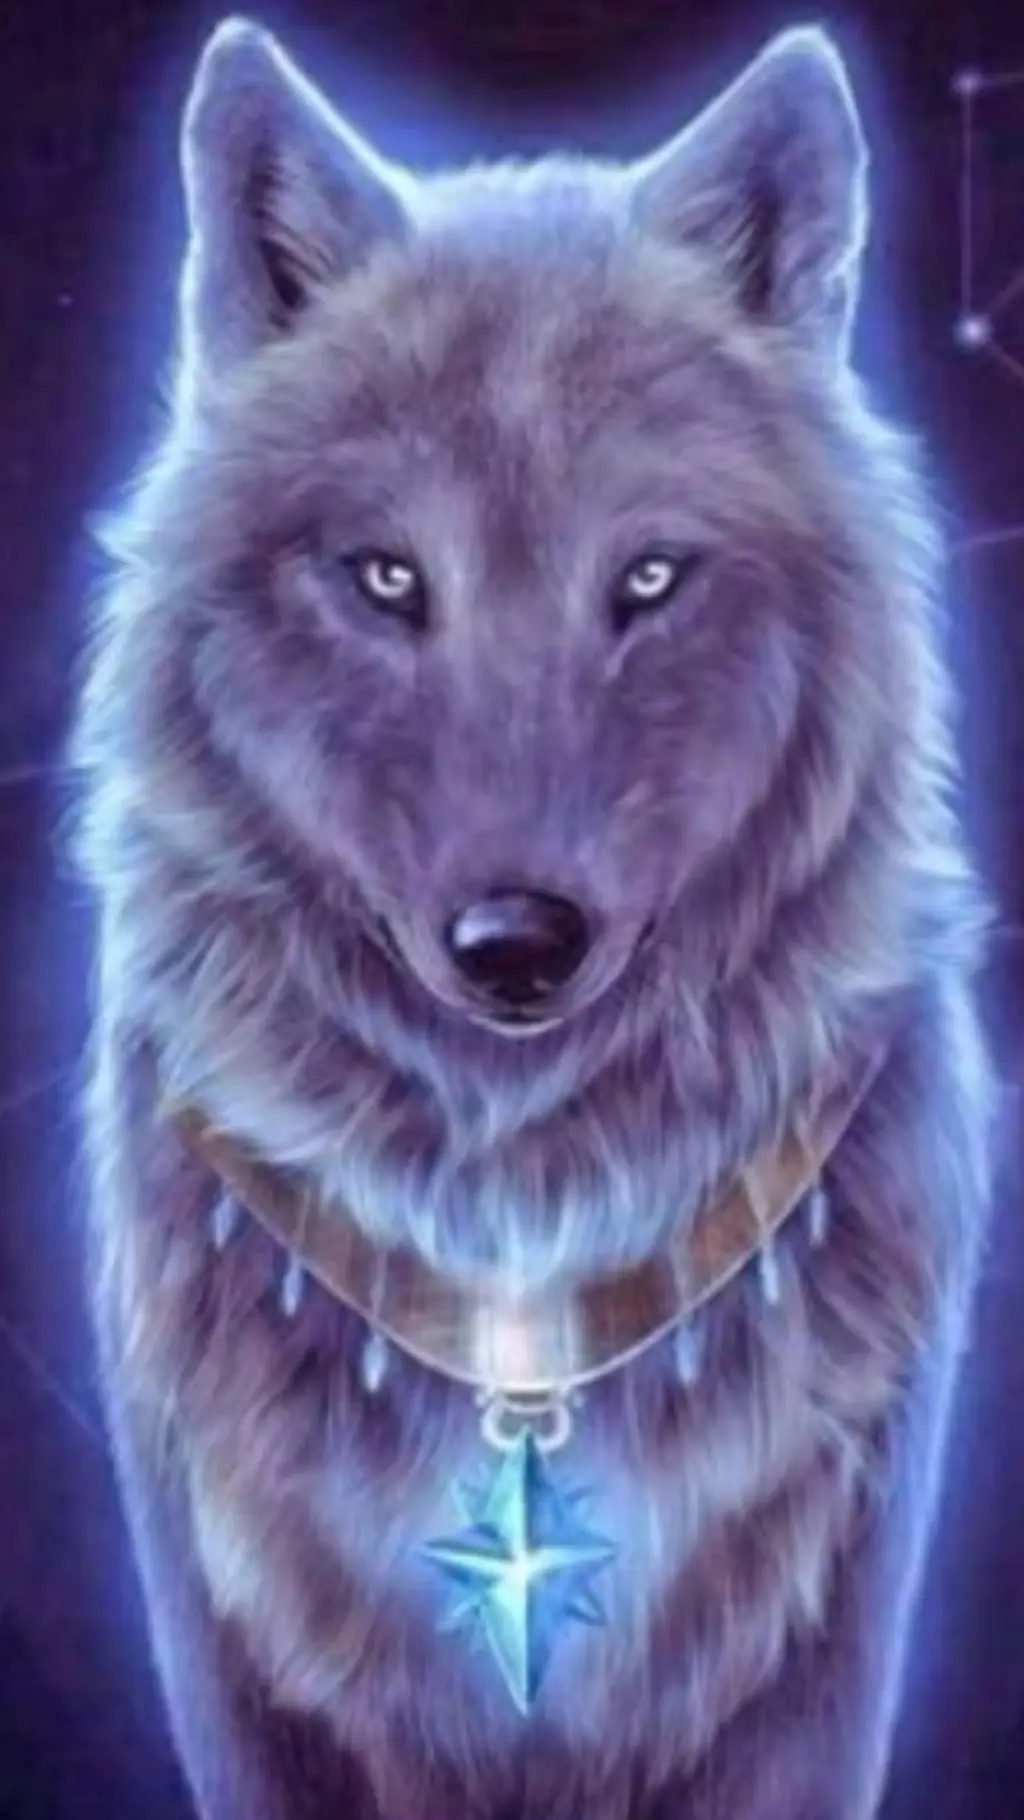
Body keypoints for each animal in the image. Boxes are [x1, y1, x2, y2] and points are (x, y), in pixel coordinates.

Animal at [70, 13, 993, 1820]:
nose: (515, 944)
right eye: (384, 579)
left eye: (645, 580)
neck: (519, 1271)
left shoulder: (819, 1637)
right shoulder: (234, 1647)